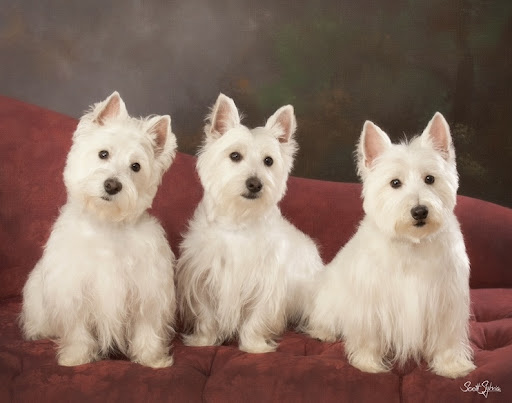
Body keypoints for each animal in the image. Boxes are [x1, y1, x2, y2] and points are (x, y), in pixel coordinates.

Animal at [20, 92, 178, 370]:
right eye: (103, 153)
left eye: (136, 166)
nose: (112, 185)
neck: (107, 223)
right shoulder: (73, 291)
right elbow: (77, 330)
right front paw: (75, 358)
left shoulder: (148, 290)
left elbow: (147, 327)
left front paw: (152, 359)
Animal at [178, 94, 322, 354]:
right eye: (235, 156)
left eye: (269, 161)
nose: (255, 184)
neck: (238, 220)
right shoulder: (202, 277)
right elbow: (206, 315)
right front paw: (203, 341)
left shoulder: (266, 282)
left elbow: (257, 317)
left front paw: (255, 347)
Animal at [304, 113, 476, 378]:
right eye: (395, 183)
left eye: (430, 178)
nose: (419, 211)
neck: (412, 243)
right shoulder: (372, 303)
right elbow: (369, 336)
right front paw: (367, 363)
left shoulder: (447, 300)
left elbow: (446, 339)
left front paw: (452, 366)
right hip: (328, 300)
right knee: (322, 318)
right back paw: (323, 333)